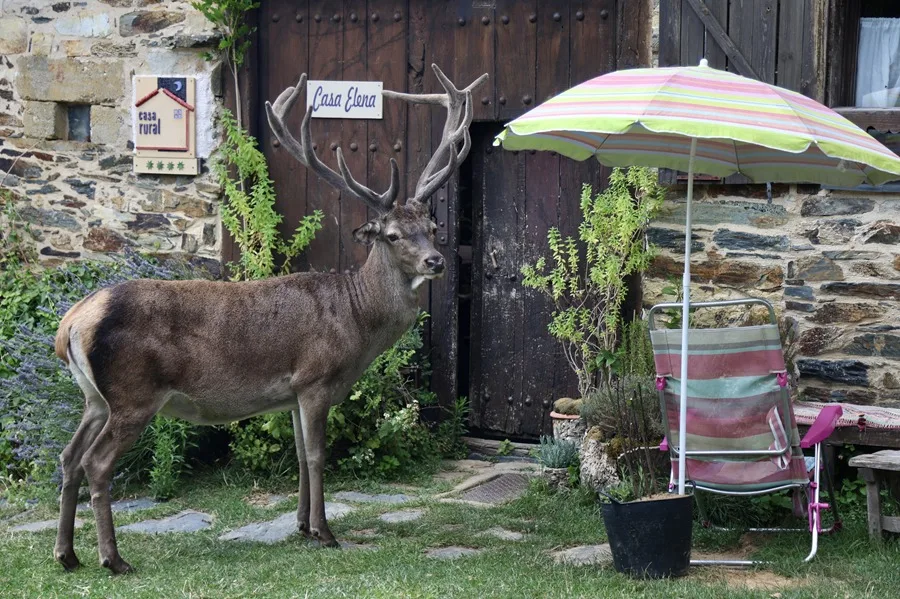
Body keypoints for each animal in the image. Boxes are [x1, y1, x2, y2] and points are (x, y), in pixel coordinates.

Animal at [52, 64, 487, 574]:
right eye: (394, 235)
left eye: (433, 228)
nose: (435, 261)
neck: (356, 320)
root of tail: (72, 321)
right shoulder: (316, 378)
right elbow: (317, 455)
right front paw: (324, 532)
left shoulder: (292, 391)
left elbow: (298, 454)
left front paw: (300, 524)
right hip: (132, 394)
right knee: (97, 462)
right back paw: (112, 559)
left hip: (94, 397)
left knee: (69, 456)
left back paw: (67, 554)